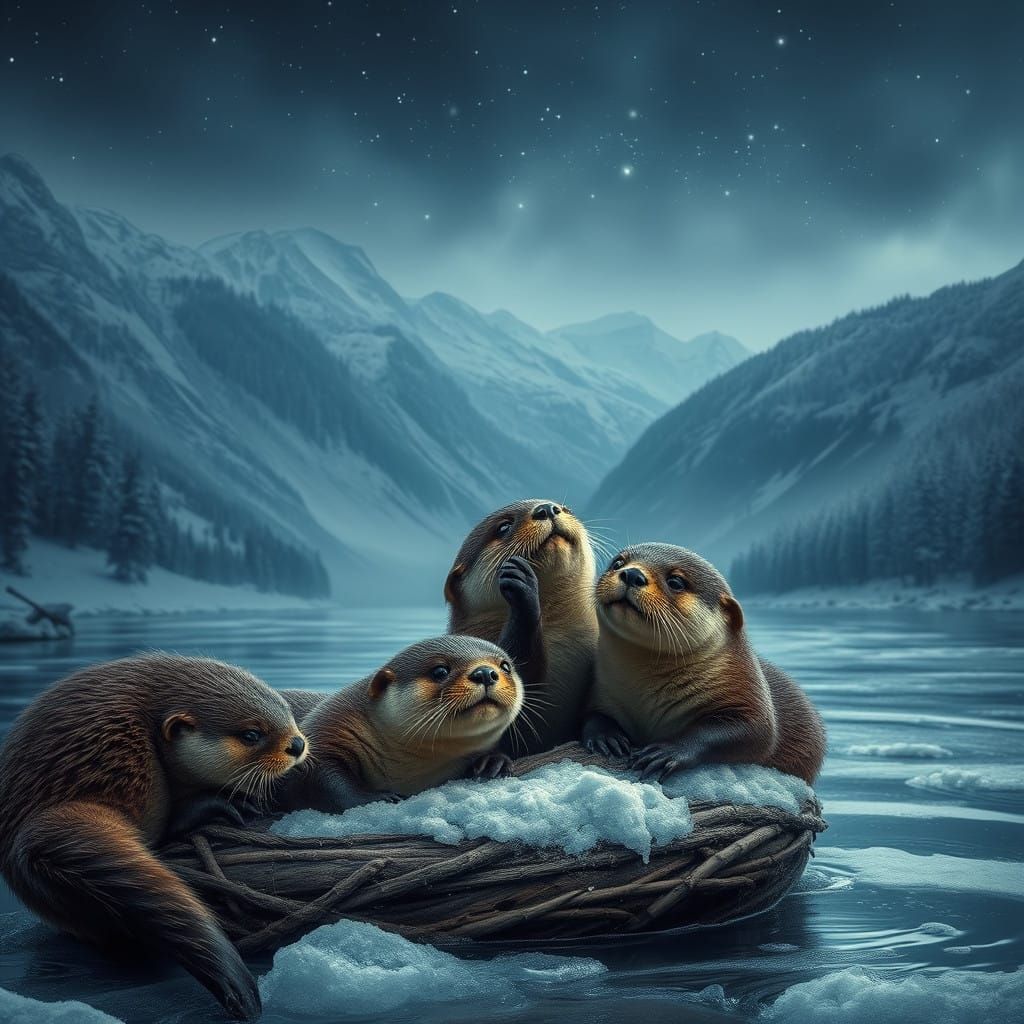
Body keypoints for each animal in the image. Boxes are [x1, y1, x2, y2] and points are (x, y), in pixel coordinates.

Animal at [276, 635, 524, 812]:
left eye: (505, 666)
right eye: (440, 670)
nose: (485, 672)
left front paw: (493, 762)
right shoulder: (328, 726)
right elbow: (322, 779)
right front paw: (379, 797)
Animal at [584, 543, 825, 785]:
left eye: (676, 582)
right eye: (617, 563)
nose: (632, 574)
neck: (644, 697)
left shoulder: (748, 691)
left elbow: (755, 733)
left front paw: (669, 752)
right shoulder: (601, 690)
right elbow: (591, 714)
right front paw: (606, 737)